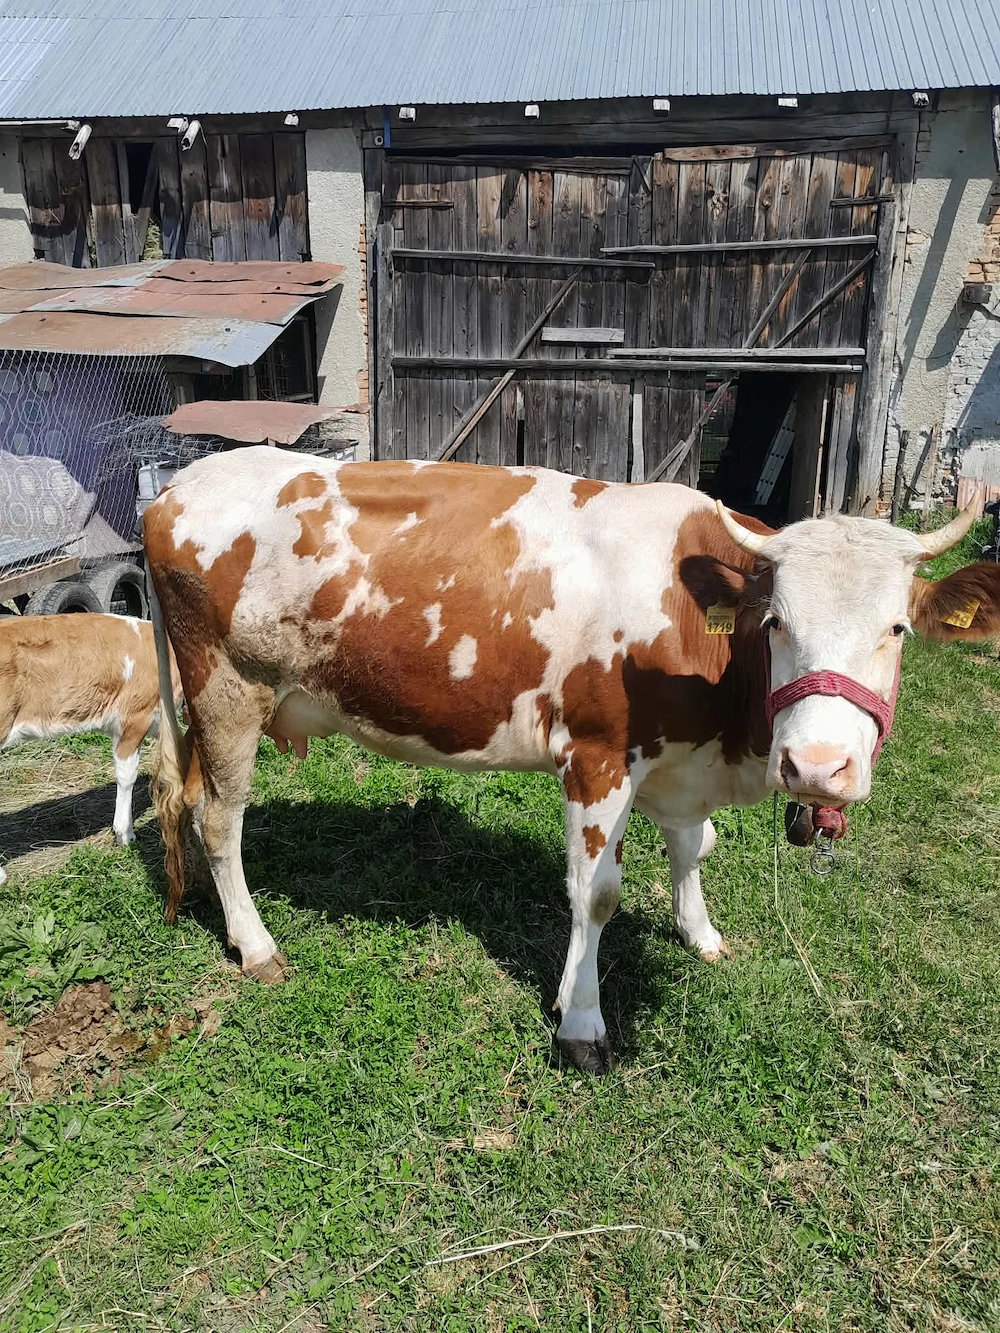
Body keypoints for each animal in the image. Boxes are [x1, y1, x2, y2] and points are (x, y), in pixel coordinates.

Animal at [142, 449, 1000, 1071]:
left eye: (897, 628)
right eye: (777, 621)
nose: (819, 766)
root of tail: (176, 484)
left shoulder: (677, 764)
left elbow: (695, 847)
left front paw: (699, 932)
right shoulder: (596, 756)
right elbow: (597, 895)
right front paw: (581, 1020)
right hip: (227, 692)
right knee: (219, 819)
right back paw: (255, 944)